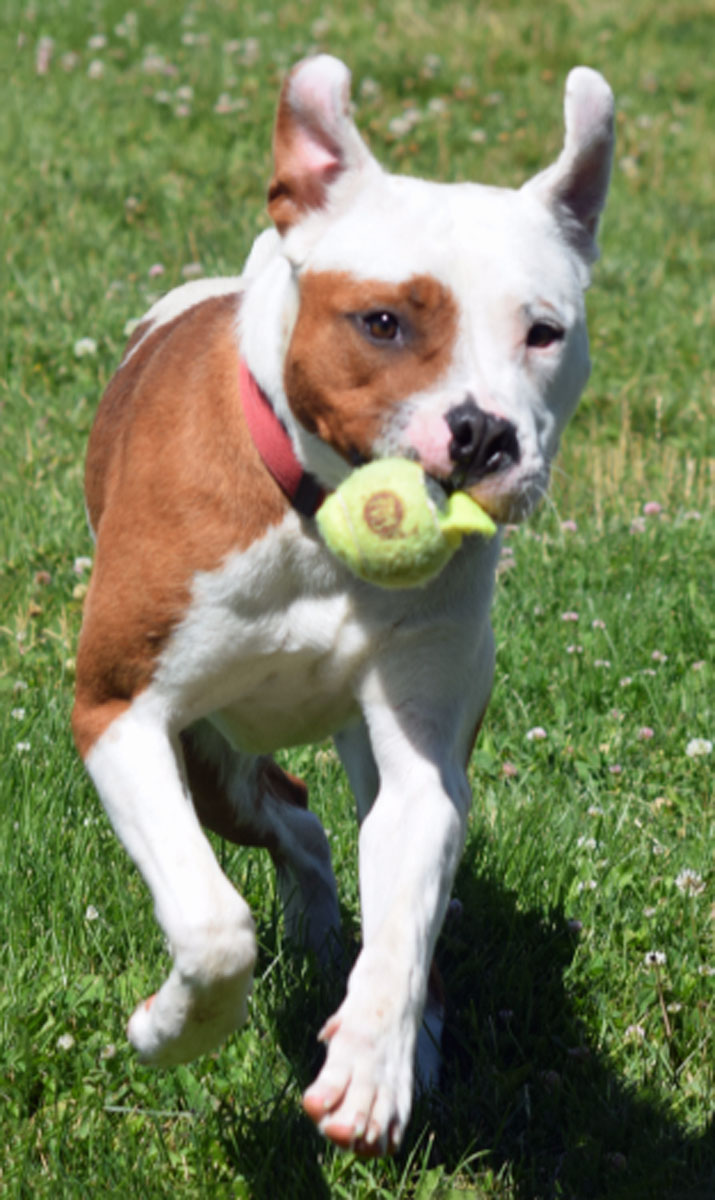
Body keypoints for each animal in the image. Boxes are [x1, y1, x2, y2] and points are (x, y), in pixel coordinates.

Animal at [72, 54, 611, 1152]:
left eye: (543, 333)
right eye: (382, 320)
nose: (483, 434)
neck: (315, 527)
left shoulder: (420, 756)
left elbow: (404, 903)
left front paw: (371, 1059)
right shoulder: (120, 708)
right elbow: (212, 926)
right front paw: (171, 1031)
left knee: (339, 841)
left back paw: (386, 1000)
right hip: (209, 759)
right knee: (284, 819)